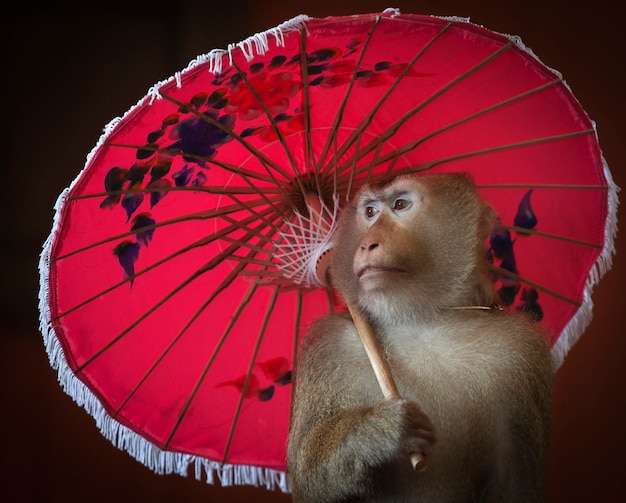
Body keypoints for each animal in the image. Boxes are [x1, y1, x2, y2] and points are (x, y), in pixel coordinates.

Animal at [286, 174, 548, 503]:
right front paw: (376, 432)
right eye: (369, 212)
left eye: (400, 204)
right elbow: (306, 479)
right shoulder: (328, 345)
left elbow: (517, 484)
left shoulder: (520, 351)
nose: (367, 243)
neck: (419, 319)